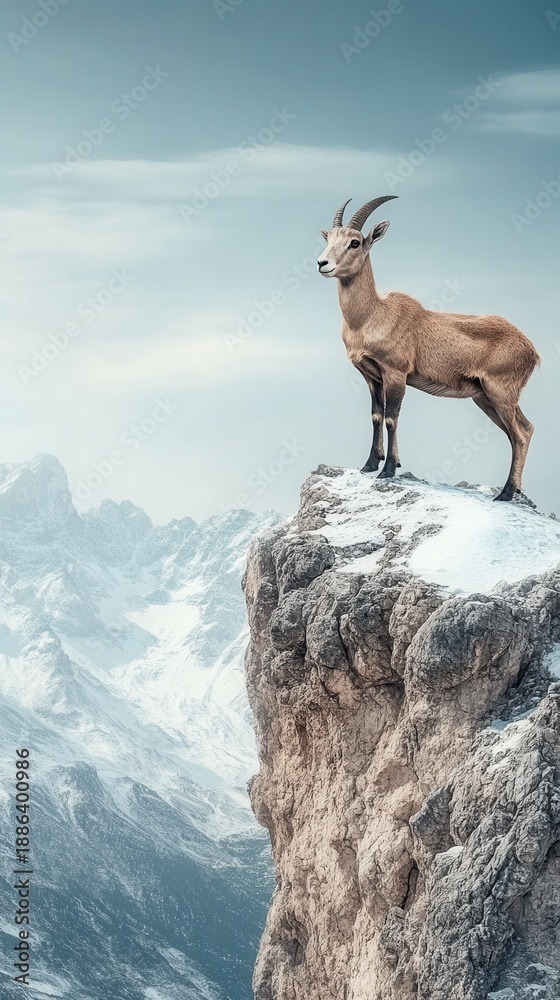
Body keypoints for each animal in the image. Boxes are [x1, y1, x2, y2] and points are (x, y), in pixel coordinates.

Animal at [317, 196, 540, 501]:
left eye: (355, 242)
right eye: (329, 237)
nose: (322, 263)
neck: (371, 316)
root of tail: (532, 350)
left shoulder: (396, 374)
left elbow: (391, 419)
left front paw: (388, 470)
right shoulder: (372, 376)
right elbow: (375, 416)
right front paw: (370, 465)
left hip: (501, 392)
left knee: (520, 433)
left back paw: (505, 493)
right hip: (485, 397)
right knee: (519, 431)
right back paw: (513, 489)